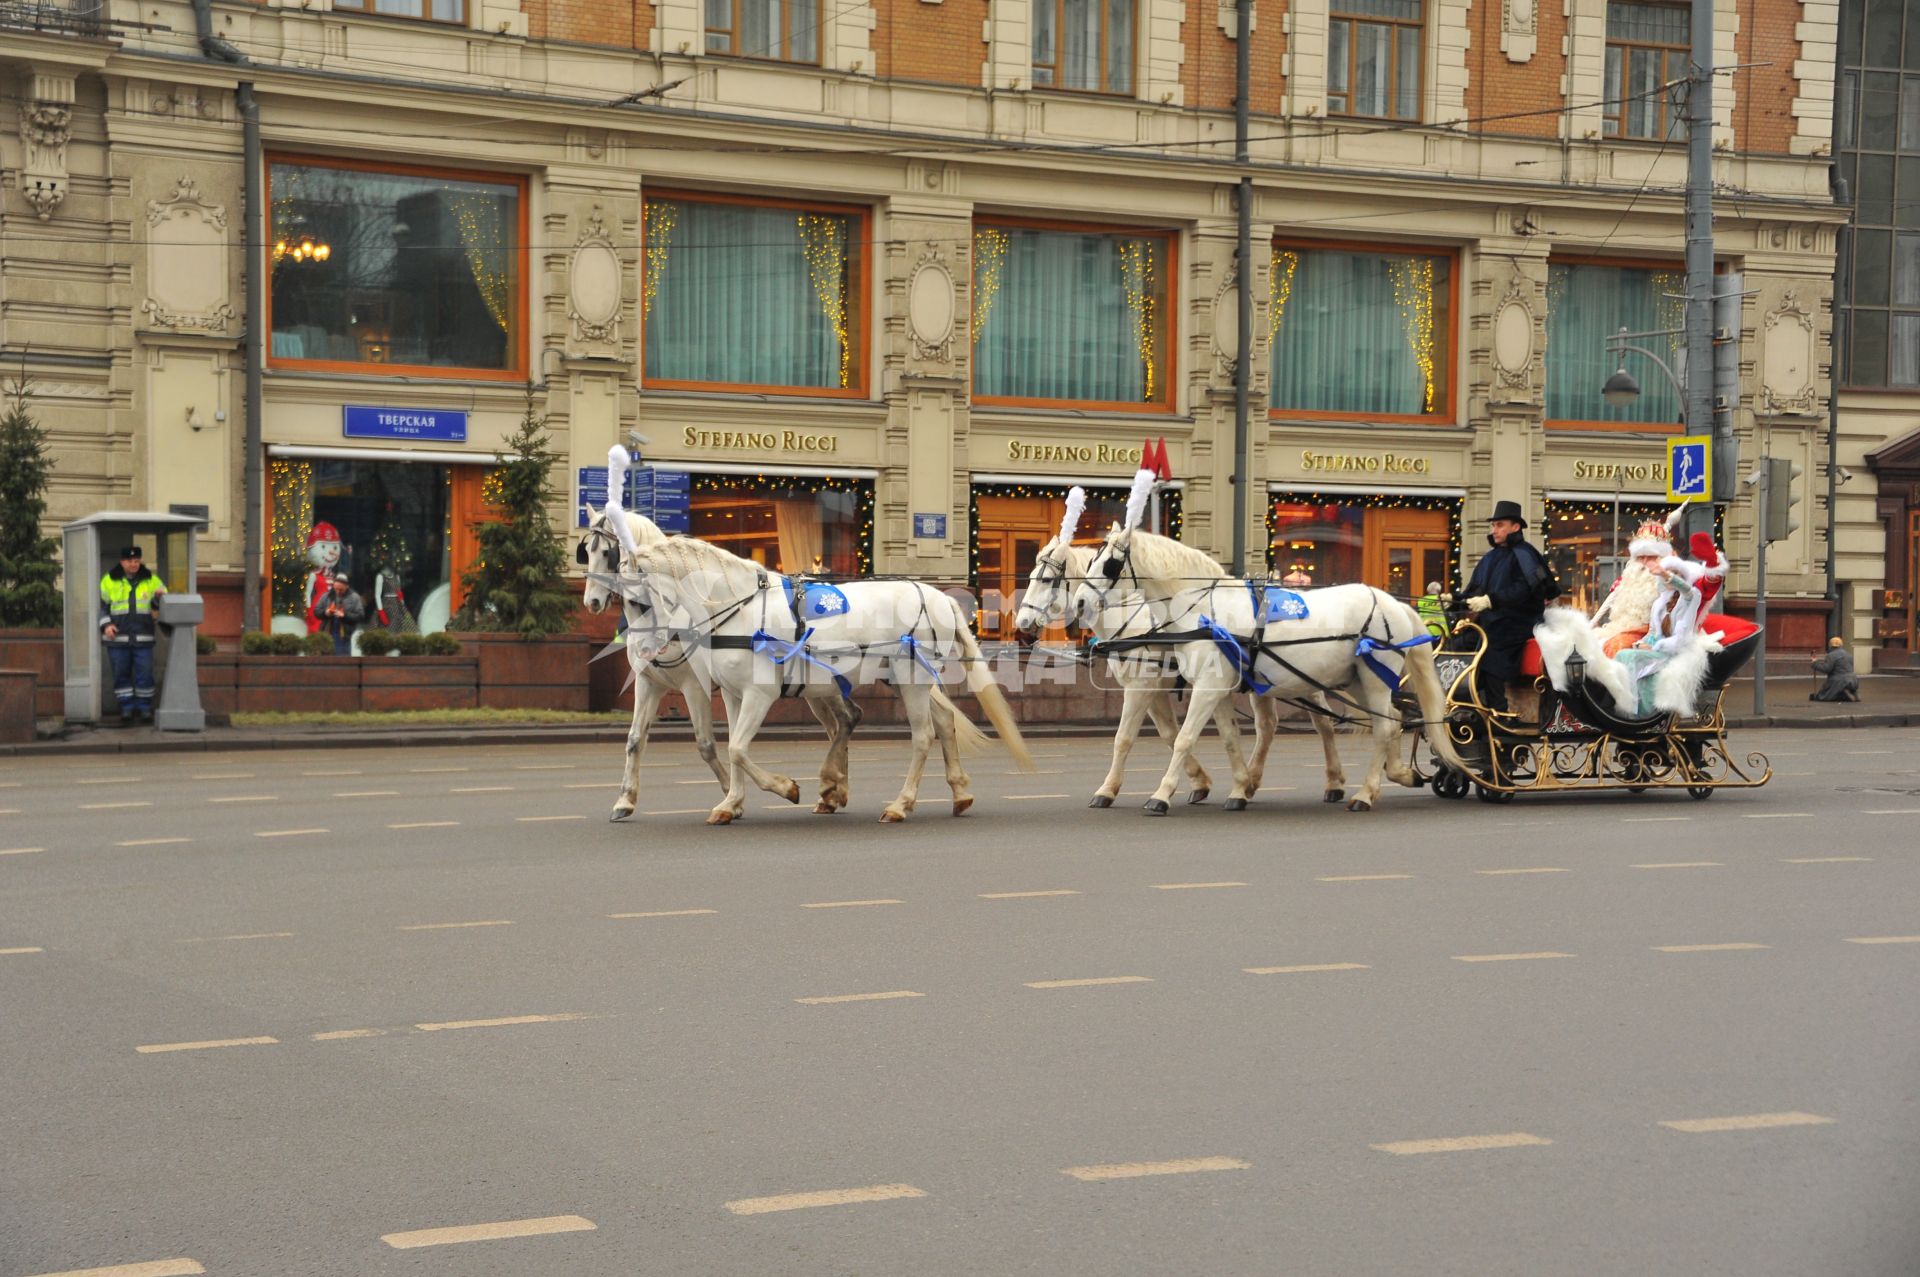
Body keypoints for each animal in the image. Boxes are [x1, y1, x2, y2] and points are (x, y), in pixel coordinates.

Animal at [579, 514, 860, 821]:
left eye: (607, 553)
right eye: (587, 552)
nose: (592, 602)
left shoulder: (694, 685)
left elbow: (706, 744)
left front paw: (732, 795)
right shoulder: (649, 682)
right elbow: (634, 739)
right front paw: (625, 800)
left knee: (845, 720)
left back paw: (834, 789)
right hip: (814, 689)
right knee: (839, 724)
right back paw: (832, 792)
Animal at [622, 533, 1029, 821]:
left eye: (636, 601)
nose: (643, 654)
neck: (741, 609)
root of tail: (940, 597)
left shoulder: (758, 694)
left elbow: (737, 748)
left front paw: (786, 788)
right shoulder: (734, 695)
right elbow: (733, 749)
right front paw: (731, 803)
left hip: (911, 679)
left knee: (923, 736)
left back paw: (900, 805)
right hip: (904, 680)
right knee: (944, 721)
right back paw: (959, 794)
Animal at [1075, 530, 1459, 810]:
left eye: (1110, 564)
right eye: (1091, 559)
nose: (1080, 602)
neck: (1203, 611)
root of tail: (1393, 602)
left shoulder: (1203, 687)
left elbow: (1180, 738)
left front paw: (1161, 794)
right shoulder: (1217, 688)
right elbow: (1229, 738)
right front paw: (1239, 788)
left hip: (1373, 680)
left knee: (1383, 728)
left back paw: (1364, 793)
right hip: (1357, 682)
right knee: (1392, 720)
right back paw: (1396, 774)